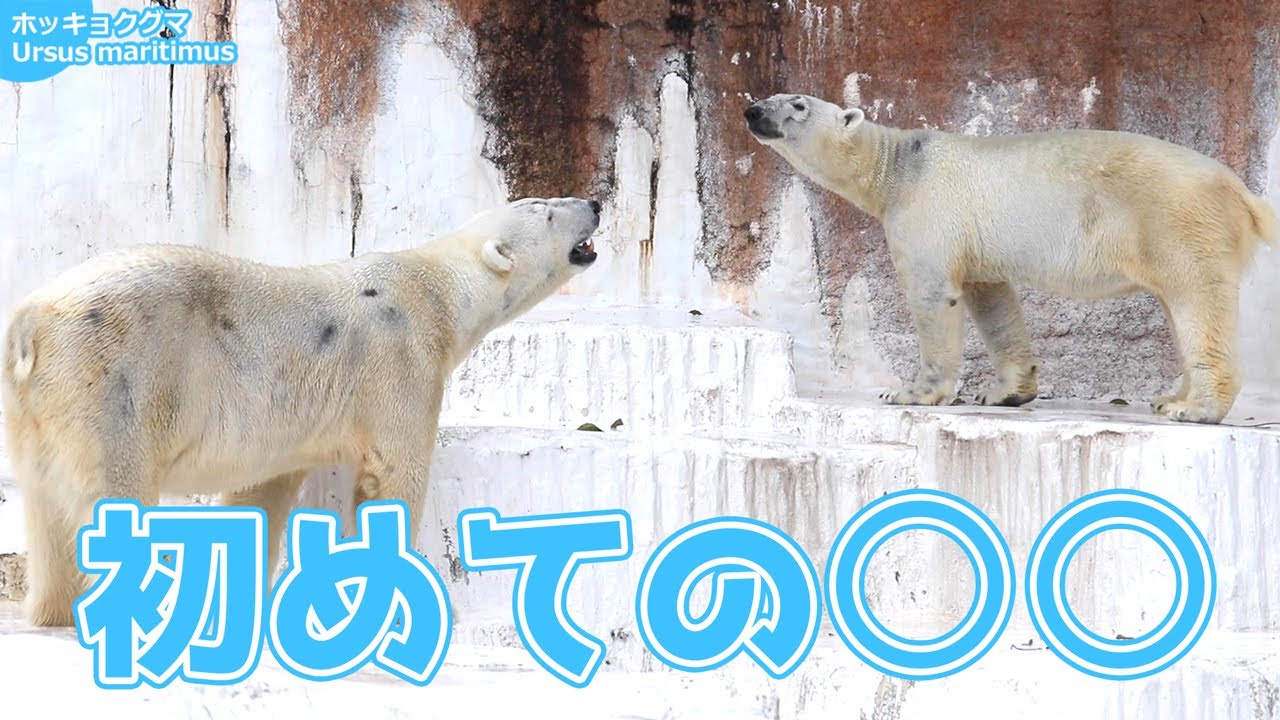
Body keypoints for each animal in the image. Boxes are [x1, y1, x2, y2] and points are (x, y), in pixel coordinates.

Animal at [1, 196, 602, 627]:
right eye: (547, 208)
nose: (595, 201)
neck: (437, 289)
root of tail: (34, 318)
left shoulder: (284, 431)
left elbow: (262, 492)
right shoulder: (400, 363)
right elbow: (393, 477)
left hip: (38, 407)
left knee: (47, 509)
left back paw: (56, 612)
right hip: (117, 382)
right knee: (114, 493)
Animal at [745, 92, 1277, 425]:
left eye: (798, 104)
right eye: (771, 95)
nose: (752, 111)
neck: (898, 166)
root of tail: (1243, 194)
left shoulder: (926, 213)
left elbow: (933, 293)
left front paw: (909, 392)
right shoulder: (976, 242)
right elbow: (992, 300)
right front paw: (1006, 392)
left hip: (1177, 221)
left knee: (1196, 300)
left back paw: (1195, 408)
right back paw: (1170, 398)